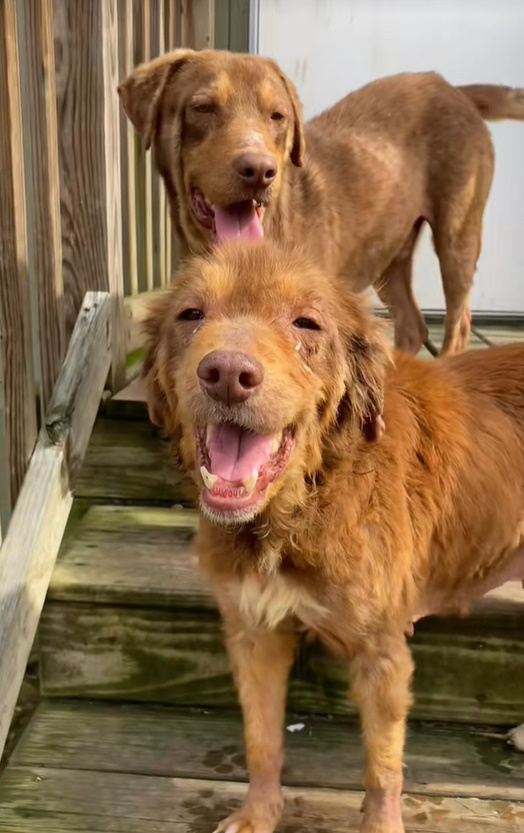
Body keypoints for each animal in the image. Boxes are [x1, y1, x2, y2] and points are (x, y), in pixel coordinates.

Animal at [118, 48, 524, 354]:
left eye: (277, 116)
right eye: (203, 108)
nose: (260, 171)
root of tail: (453, 88)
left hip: (457, 237)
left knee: (459, 322)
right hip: (388, 256)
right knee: (413, 327)